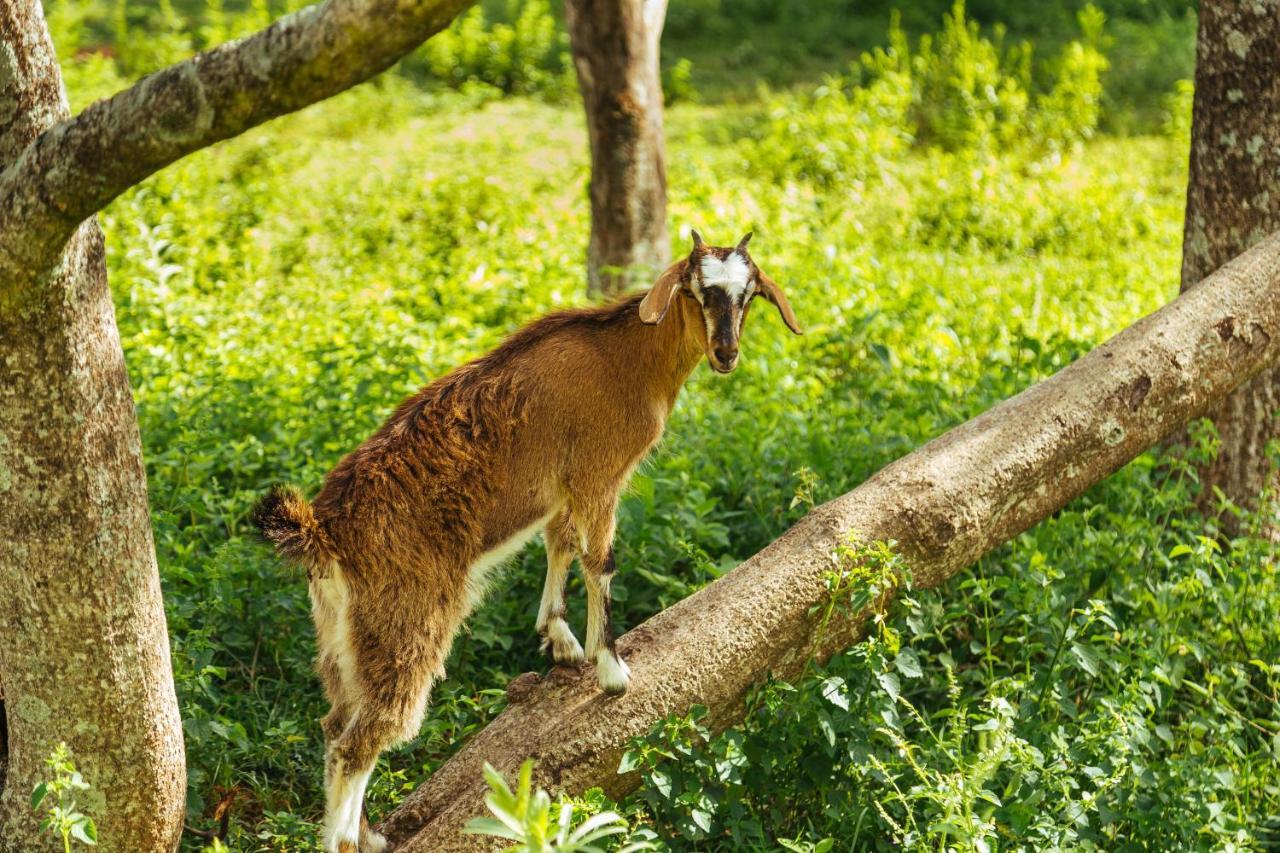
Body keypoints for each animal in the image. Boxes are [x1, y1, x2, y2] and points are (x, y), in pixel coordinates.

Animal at [252, 227, 798, 850]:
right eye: (697, 290)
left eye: (748, 294)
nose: (726, 353)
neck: (627, 359)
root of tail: (325, 531)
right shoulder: (598, 475)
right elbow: (600, 560)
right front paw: (611, 670)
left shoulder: (562, 489)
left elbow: (559, 545)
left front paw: (560, 640)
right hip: (405, 623)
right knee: (361, 740)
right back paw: (349, 839)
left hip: (341, 632)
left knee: (335, 724)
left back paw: (370, 833)